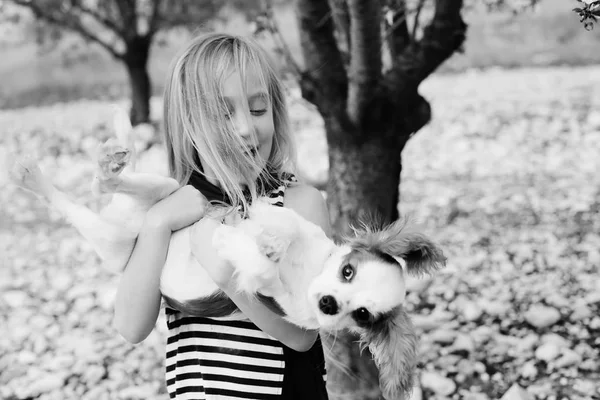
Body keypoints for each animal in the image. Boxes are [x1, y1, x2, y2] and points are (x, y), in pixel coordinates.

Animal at [10, 110, 446, 400]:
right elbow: (280, 222)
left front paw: (235, 245)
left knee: (88, 198)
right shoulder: (293, 226)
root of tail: (133, 230)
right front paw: (265, 237)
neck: (306, 272)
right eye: (348, 270)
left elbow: (259, 270)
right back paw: (115, 146)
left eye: (362, 315)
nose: (328, 302)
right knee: (111, 183)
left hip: (119, 235)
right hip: (174, 191)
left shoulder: (282, 304)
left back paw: (39, 176)